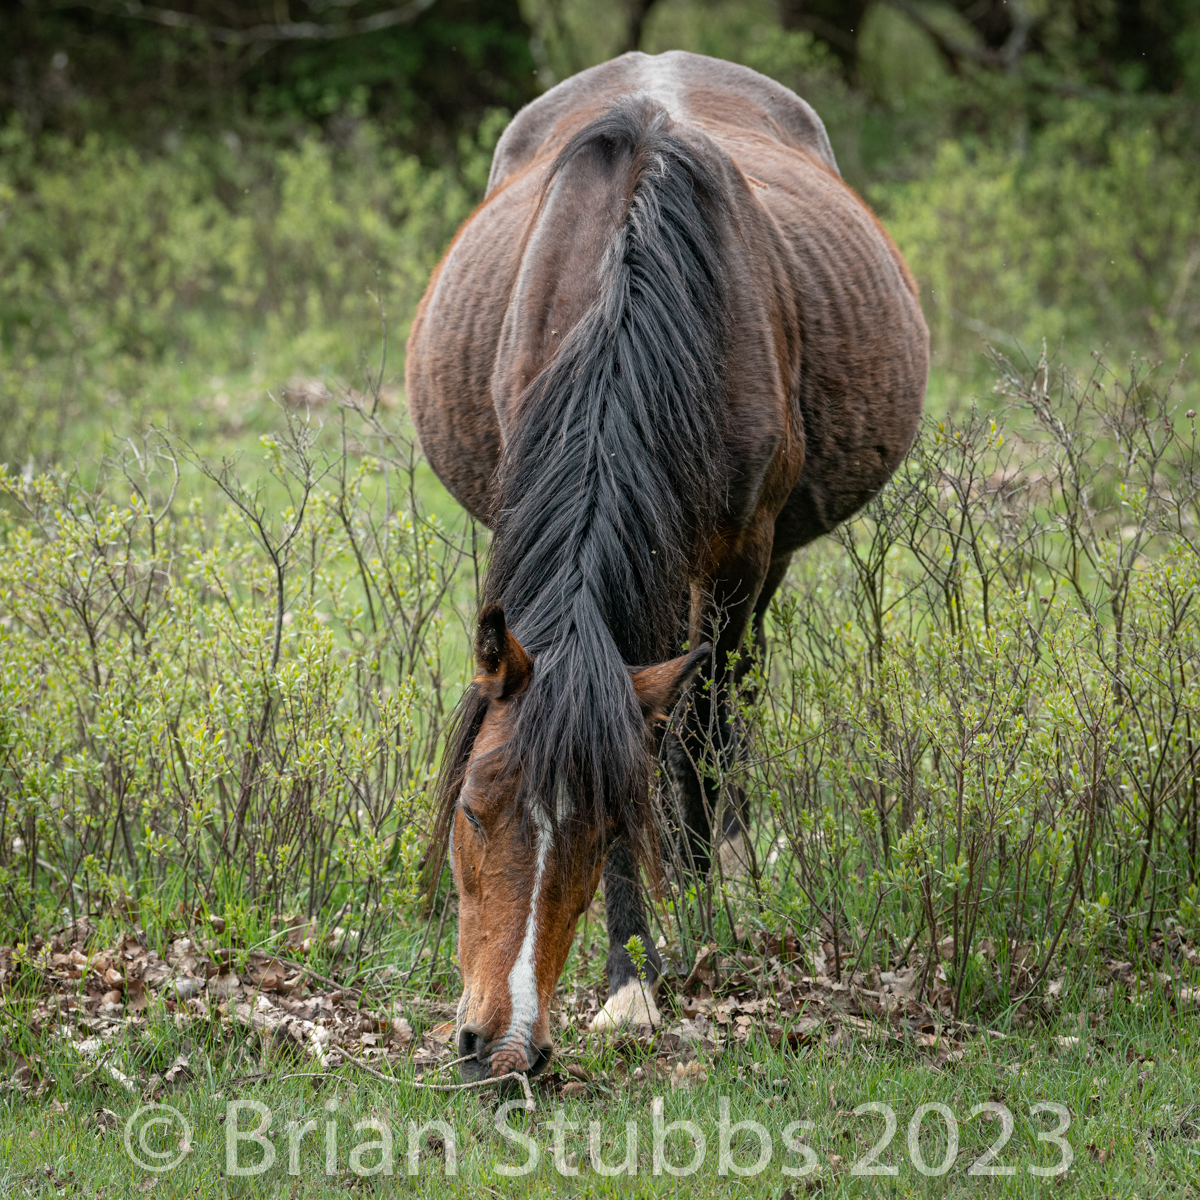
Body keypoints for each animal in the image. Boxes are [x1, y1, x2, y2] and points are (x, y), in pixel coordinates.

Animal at [405, 51, 926, 1084]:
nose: (500, 1044)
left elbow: (692, 738)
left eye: (611, 824)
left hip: (753, 575)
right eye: (474, 813)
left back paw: (719, 871)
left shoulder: (737, 559)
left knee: (724, 709)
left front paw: (650, 959)